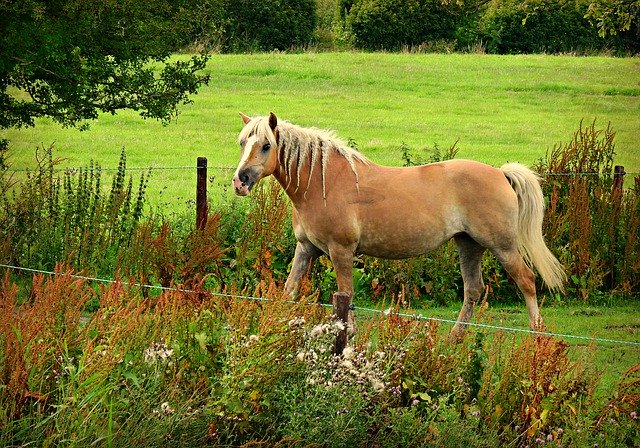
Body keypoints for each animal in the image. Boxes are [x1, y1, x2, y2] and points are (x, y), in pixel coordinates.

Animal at [232, 112, 566, 338]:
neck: (322, 183)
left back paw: (536, 334)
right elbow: (288, 292)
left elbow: (346, 296)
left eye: (266, 145)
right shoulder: (306, 249)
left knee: (526, 281)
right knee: (473, 290)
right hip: (469, 245)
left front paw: (348, 337)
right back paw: (454, 339)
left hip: (502, 246)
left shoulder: (341, 251)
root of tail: (500, 173)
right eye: (242, 142)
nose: (240, 181)